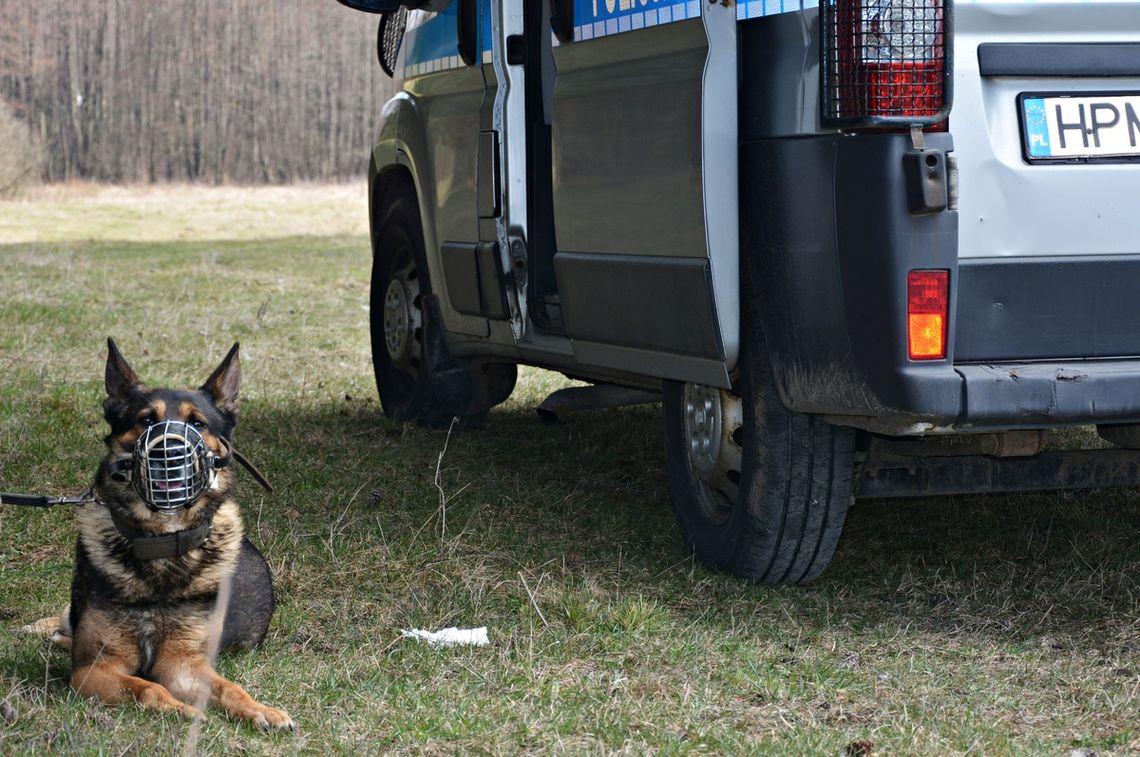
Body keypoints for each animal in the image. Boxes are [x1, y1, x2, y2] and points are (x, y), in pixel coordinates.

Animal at [28, 339, 294, 729]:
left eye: (197, 423)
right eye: (146, 420)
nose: (170, 449)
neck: (161, 544)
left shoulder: (182, 663)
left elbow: (229, 687)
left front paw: (261, 709)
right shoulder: (93, 669)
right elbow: (147, 687)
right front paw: (179, 709)